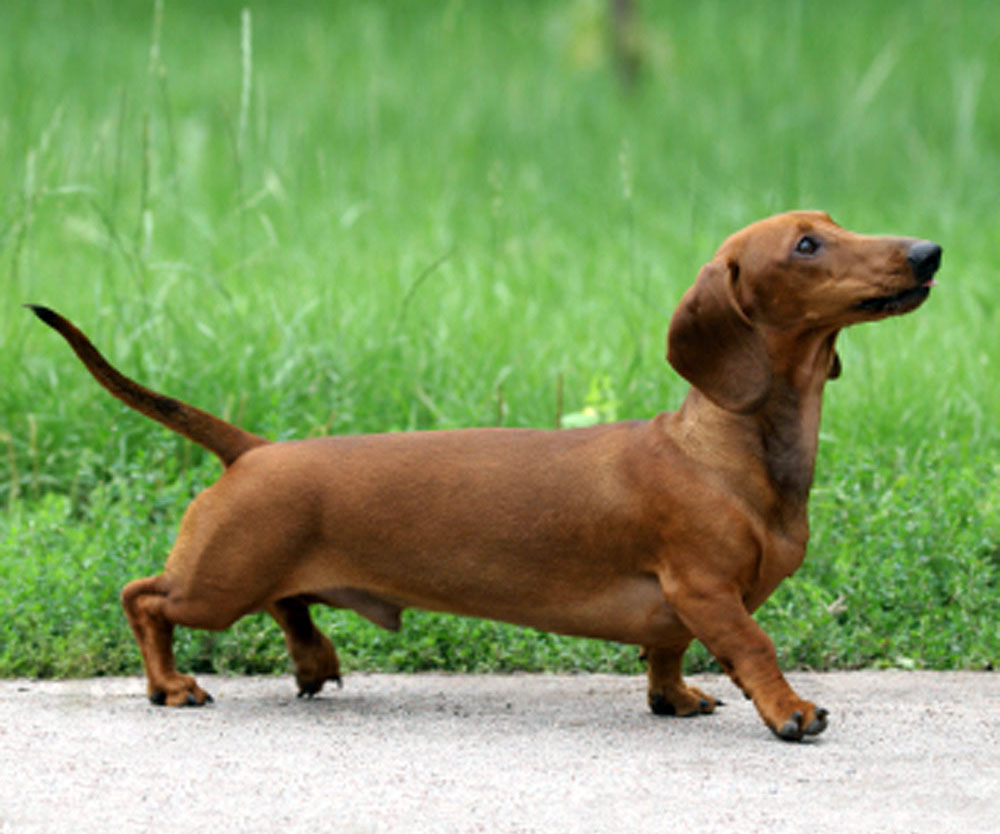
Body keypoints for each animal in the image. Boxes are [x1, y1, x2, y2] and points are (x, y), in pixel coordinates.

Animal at [29, 211, 936, 736]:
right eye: (807, 244)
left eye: (834, 223)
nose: (929, 251)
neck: (725, 447)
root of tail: (253, 448)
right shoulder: (706, 585)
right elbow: (752, 644)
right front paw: (790, 710)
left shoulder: (679, 605)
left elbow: (667, 651)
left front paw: (674, 697)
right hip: (218, 582)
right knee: (144, 597)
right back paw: (170, 684)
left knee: (289, 606)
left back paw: (315, 661)